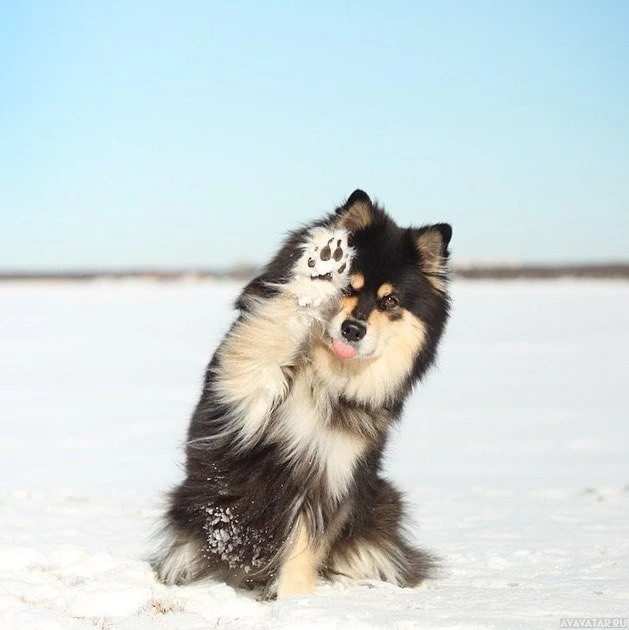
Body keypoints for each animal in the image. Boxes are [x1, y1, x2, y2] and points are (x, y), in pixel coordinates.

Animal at [152, 190, 452, 600]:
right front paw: (323, 265)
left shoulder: (331, 475)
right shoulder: (244, 391)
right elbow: (272, 328)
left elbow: (304, 549)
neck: (322, 378)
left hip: (383, 506)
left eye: (390, 301)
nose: (353, 329)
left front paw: (294, 601)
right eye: (348, 286)